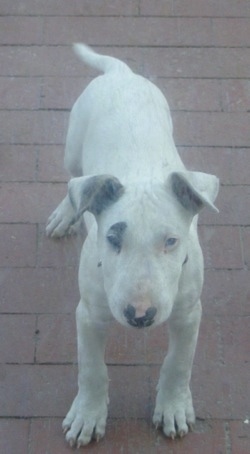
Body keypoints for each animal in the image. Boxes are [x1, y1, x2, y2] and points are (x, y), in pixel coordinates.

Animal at [46, 44, 219, 448]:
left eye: (171, 241)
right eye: (112, 238)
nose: (140, 315)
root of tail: (120, 73)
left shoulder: (189, 311)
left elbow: (179, 363)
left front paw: (173, 407)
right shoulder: (89, 313)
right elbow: (92, 368)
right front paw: (88, 416)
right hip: (73, 147)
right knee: (75, 182)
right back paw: (66, 212)